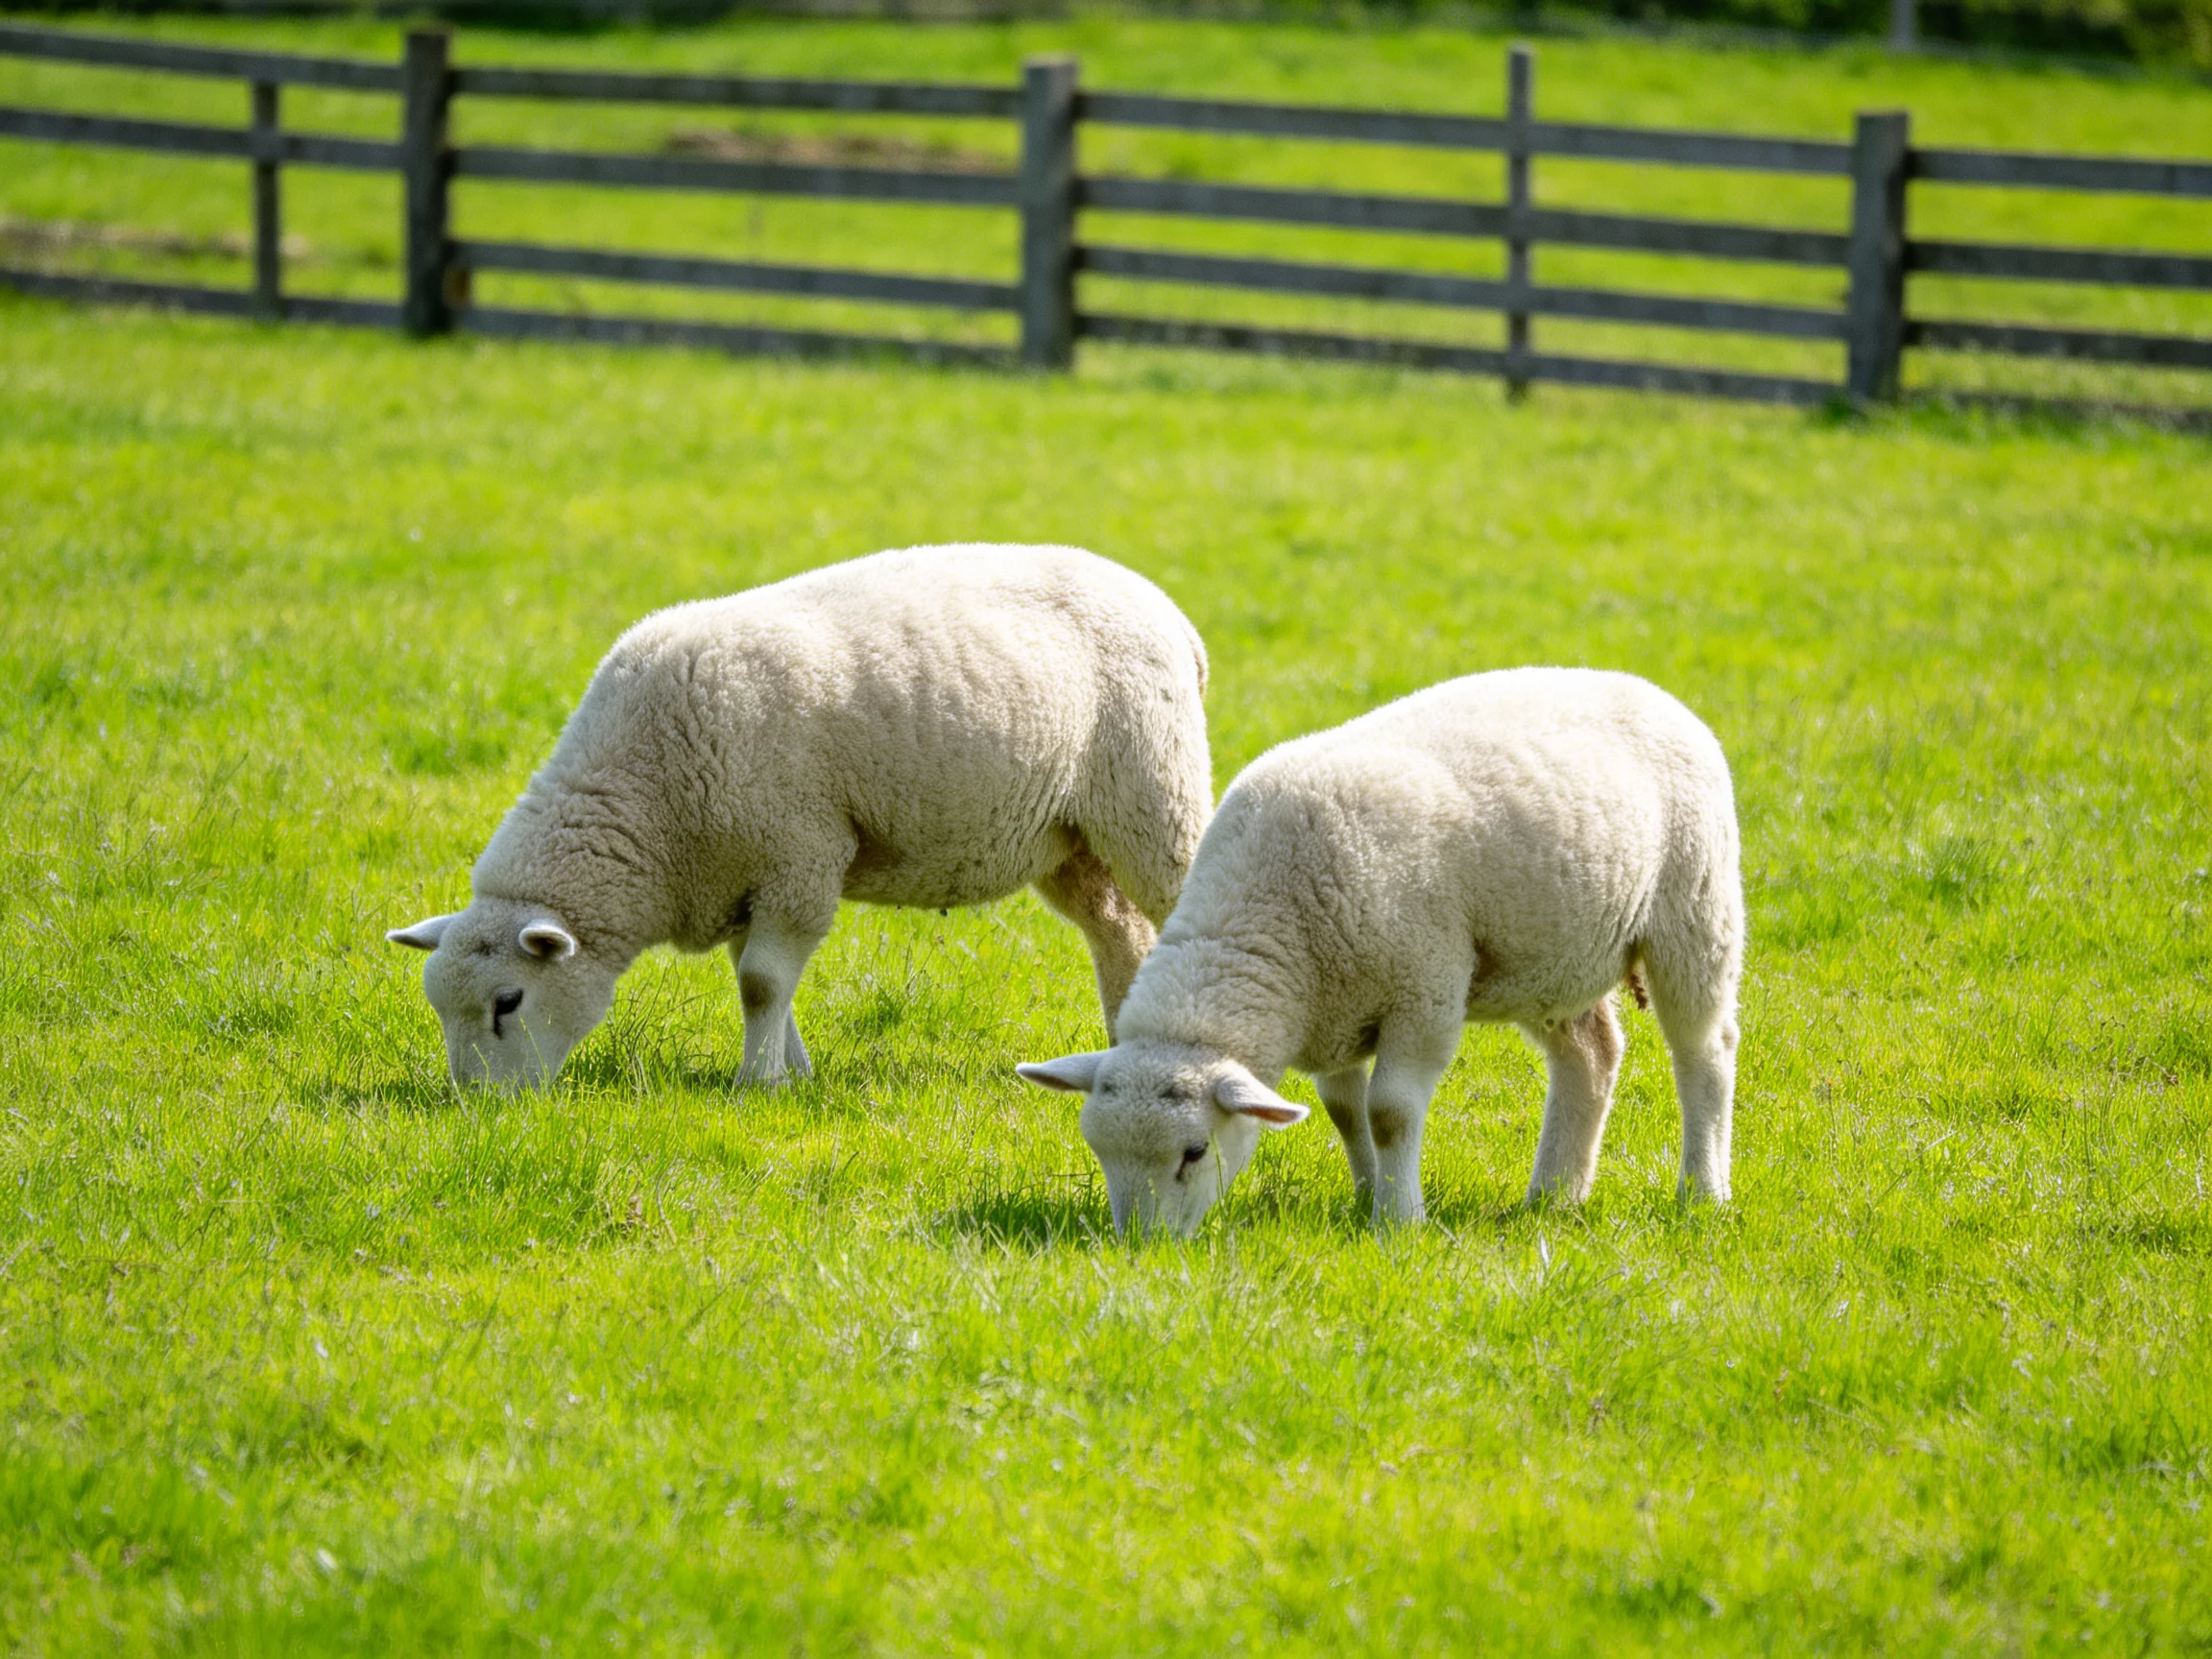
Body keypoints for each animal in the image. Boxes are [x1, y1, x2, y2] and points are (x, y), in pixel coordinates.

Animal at [388, 544, 1212, 1090]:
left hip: (1153, 797)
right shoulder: (744, 874)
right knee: (1119, 932)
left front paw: (756, 1084)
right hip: (1070, 840)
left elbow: (758, 982)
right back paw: (1119, 1042)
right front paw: (795, 1072)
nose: (479, 1107)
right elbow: (759, 981)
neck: (649, 801)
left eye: (508, 1002)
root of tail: (1169, 611)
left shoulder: (798, 855)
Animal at [1017, 667, 1743, 1236]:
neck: (1270, 913)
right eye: (1098, 1149)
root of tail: (1640, 686)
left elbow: (1390, 1112)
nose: (1141, 1246)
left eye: (1194, 1152)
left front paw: (1400, 1219)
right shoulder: (1335, 1009)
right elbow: (1345, 1113)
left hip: (1694, 908)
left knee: (1704, 1053)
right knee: (1591, 1054)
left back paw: (1701, 1192)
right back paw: (1553, 1197)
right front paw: (1367, 1198)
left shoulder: (1424, 988)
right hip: (1551, 956)